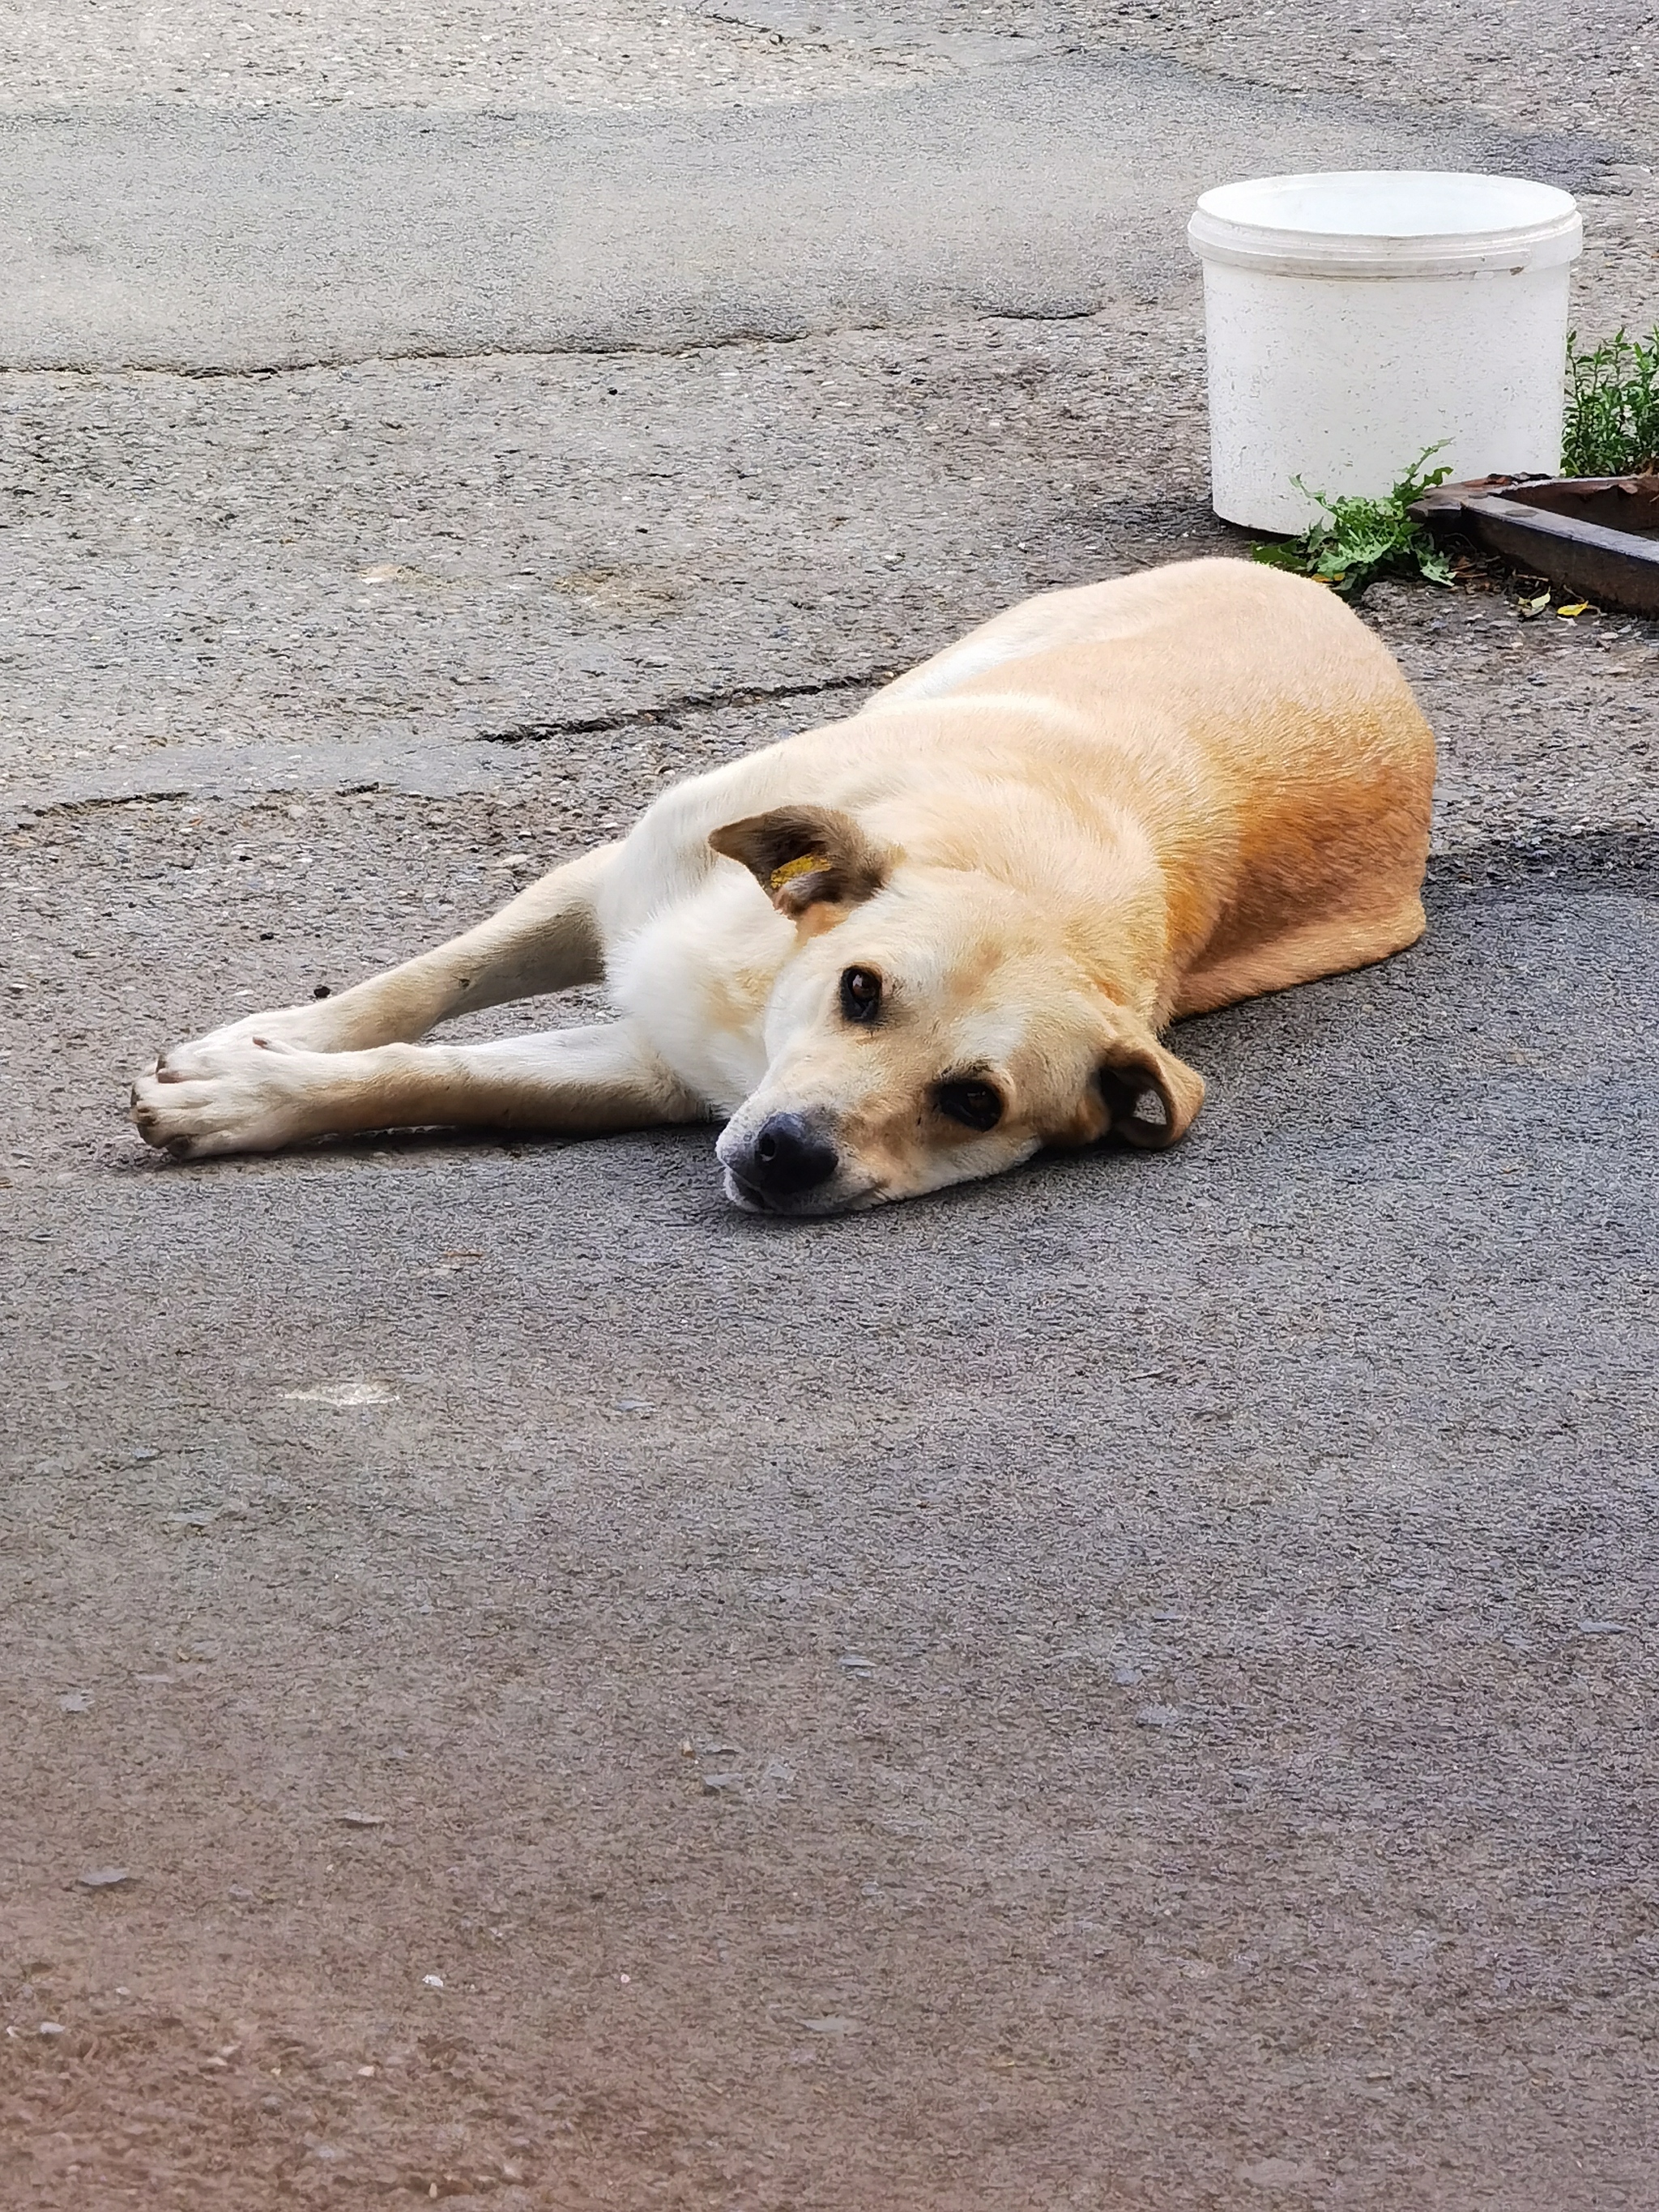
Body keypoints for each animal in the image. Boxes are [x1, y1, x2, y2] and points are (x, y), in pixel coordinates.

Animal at [130, 552, 1433, 1212]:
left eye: (975, 1103)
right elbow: (422, 988)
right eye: (860, 990)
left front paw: (245, 1101)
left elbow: (441, 1072)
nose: (787, 1158)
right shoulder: (614, 882)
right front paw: (256, 1045)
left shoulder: (650, 1069)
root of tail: (1338, 613)